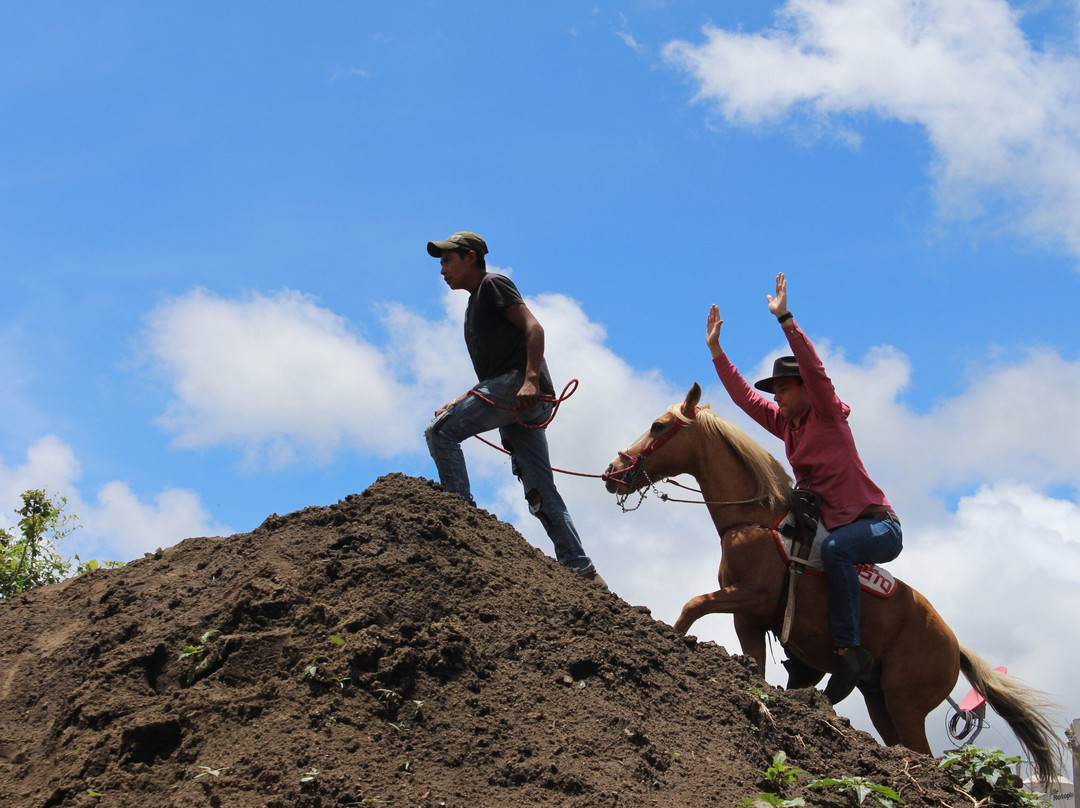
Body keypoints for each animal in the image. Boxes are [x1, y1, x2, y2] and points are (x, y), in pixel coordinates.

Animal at [609, 384, 1062, 782]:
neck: (757, 521)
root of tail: (954, 645)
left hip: (906, 703)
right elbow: (750, 662)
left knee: (924, 754)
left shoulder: (749, 596)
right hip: (880, 702)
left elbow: (693, 604)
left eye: (659, 426)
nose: (615, 471)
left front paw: (669, 637)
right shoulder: (748, 619)